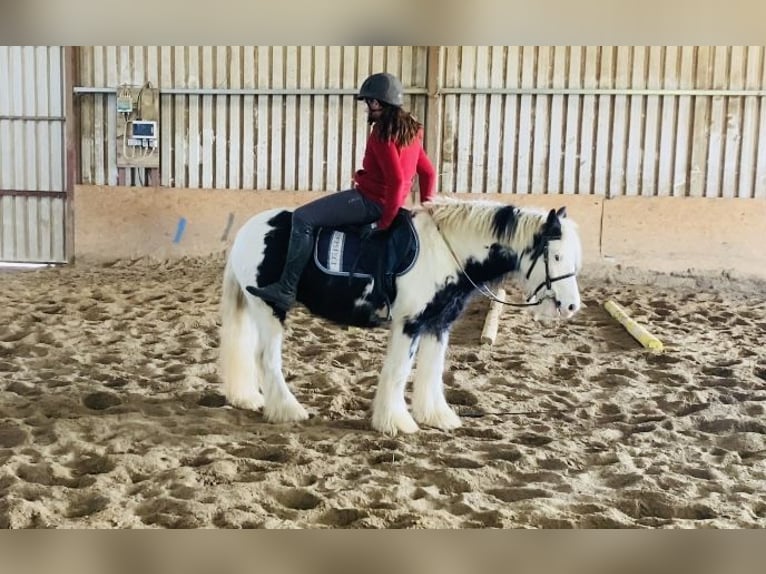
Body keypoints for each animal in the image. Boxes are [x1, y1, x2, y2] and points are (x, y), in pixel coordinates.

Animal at [219, 198, 584, 436]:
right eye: (555, 255)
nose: (571, 306)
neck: (446, 252)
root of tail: (247, 232)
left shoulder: (438, 324)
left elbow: (431, 372)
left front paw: (437, 416)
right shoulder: (409, 324)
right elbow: (398, 372)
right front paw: (396, 422)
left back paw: (249, 398)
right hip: (269, 309)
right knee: (267, 360)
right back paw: (288, 410)